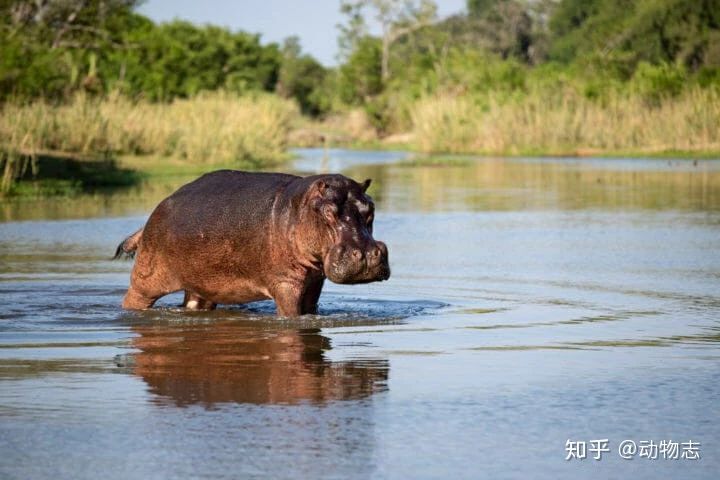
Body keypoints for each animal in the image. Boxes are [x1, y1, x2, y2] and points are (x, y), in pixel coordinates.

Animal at [113, 171, 390, 316]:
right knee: (133, 299)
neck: (299, 208)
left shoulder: (314, 282)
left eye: (371, 207)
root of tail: (157, 209)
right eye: (328, 212)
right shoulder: (285, 284)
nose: (365, 254)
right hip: (146, 280)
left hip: (201, 286)